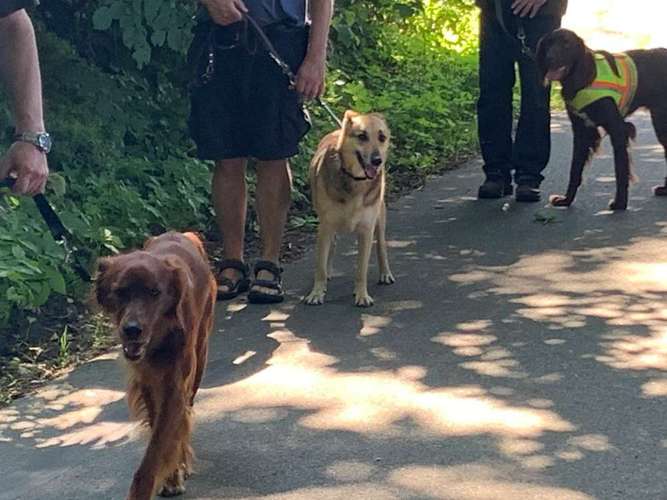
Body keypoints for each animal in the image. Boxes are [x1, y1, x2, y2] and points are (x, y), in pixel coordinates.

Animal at [94, 232, 217, 498]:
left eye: (154, 292)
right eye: (120, 291)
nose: (132, 330)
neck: (161, 335)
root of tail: (184, 233)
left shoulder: (175, 386)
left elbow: (157, 449)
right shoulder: (148, 383)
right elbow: (159, 433)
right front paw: (172, 477)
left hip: (200, 354)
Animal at [304, 111, 394, 306]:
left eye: (382, 137)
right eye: (362, 136)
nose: (377, 161)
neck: (355, 179)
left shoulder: (366, 230)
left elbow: (361, 269)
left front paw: (362, 295)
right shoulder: (325, 227)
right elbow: (320, 266)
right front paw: (317, 292)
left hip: (380, 217)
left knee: (381, 246)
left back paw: (385, 272)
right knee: (332, 246)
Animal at [536, 29, 667, 209]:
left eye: (567, 44)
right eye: (548, 43)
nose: (550, 58)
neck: (582, 79)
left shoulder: (618, 129)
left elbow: (620, 170)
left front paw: (620, 203)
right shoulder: (581, 131)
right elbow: (574, 169)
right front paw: (567, 199)